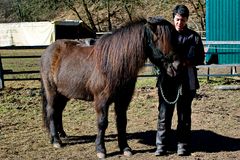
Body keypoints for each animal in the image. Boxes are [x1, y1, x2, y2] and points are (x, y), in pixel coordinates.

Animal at [40, 16, 179, 159]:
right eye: (161, 39)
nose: (176, 67)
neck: (112, 64)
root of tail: (49, 50)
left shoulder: (123, 100)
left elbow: (122, 122)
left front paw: (125, 148)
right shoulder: (101, 100)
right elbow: (102, 123)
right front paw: (101, 149)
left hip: (63, 93)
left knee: (59, 111)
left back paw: (62, 134)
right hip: (52, 92)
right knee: (51, 111)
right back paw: (56, 140)